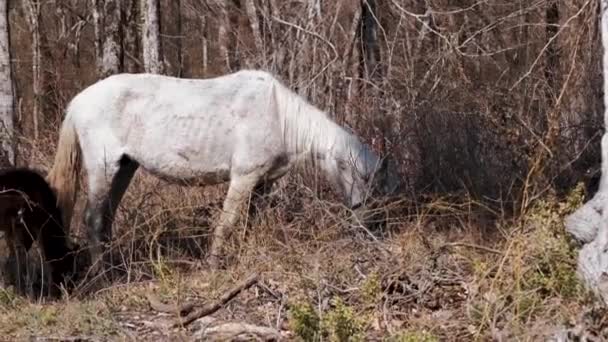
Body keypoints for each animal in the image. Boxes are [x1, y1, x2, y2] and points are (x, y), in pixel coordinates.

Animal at [46, 70, 400, 272]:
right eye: (361, 177)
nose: (368, 227)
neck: (277, 114)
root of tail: (78, 102)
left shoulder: (261, 184)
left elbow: (246, 224)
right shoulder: (243, 178)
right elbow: (227, 223)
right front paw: (214, 266)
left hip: (124, 168)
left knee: (105, 218)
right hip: (103, 167)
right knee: (92, 219)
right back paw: (102, 275)